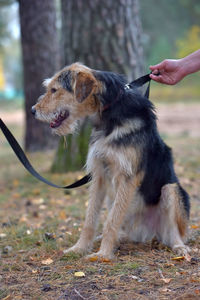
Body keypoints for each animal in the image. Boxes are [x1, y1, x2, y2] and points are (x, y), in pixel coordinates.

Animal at [32, 62, 190, 260]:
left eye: (54, 90)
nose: (33, 111)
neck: (109, 114)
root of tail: (146, 232)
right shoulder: (99, 174)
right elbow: (90, 219)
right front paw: (79, 248)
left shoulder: (127, 177)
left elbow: (111, 221)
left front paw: (103, 255)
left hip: (171, 190)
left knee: (174, 232)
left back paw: (179, 247)